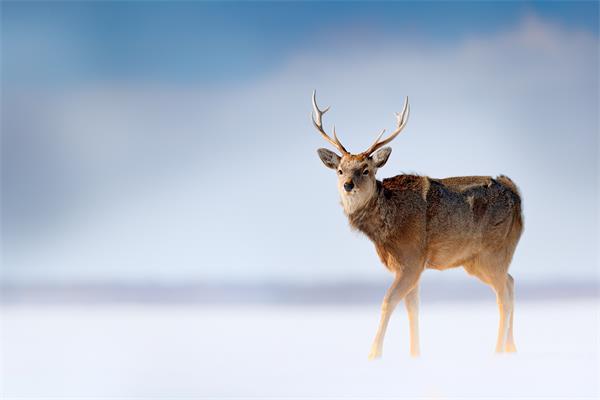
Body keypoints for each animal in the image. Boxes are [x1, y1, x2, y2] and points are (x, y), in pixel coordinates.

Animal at [312, 91, 524, 360]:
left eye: (366, 169)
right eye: (340, 170)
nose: (348, 184)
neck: (385, 229)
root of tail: (515, 193)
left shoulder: (412, 258)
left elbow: (388, 301)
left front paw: (374, 354)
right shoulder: (407, 265)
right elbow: (413, 308)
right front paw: (415, 354)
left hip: (493, 250)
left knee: (503, 296)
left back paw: (497, 351)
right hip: (477, 260)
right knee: (510, 282)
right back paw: (511, 347)